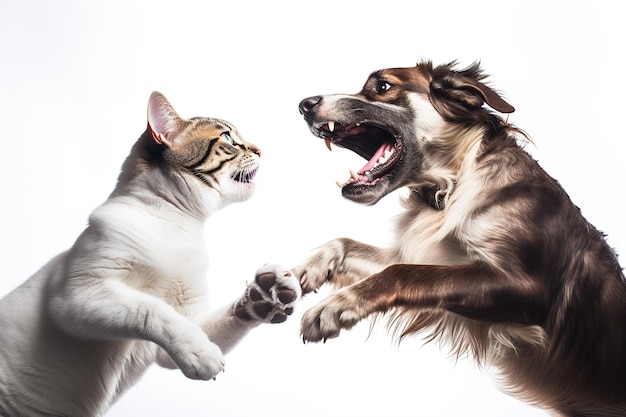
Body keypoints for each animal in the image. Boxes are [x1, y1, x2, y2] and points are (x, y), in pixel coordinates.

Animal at [0, 92, 300, 416]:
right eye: (229, 138)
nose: (261, 150)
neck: (179, 227)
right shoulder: (78, 296)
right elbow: (152, 308)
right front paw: (200, 354)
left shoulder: (188, 321)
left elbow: (220, 317)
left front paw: (265, 295)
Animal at [294, 60, 624, 414]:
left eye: (382, 86)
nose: (304, 105)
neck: (453, 186)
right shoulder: (428, 255)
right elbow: (347, 245)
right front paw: (306, 269)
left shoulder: (529, 288)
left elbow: (401, 273)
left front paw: (337, 305)